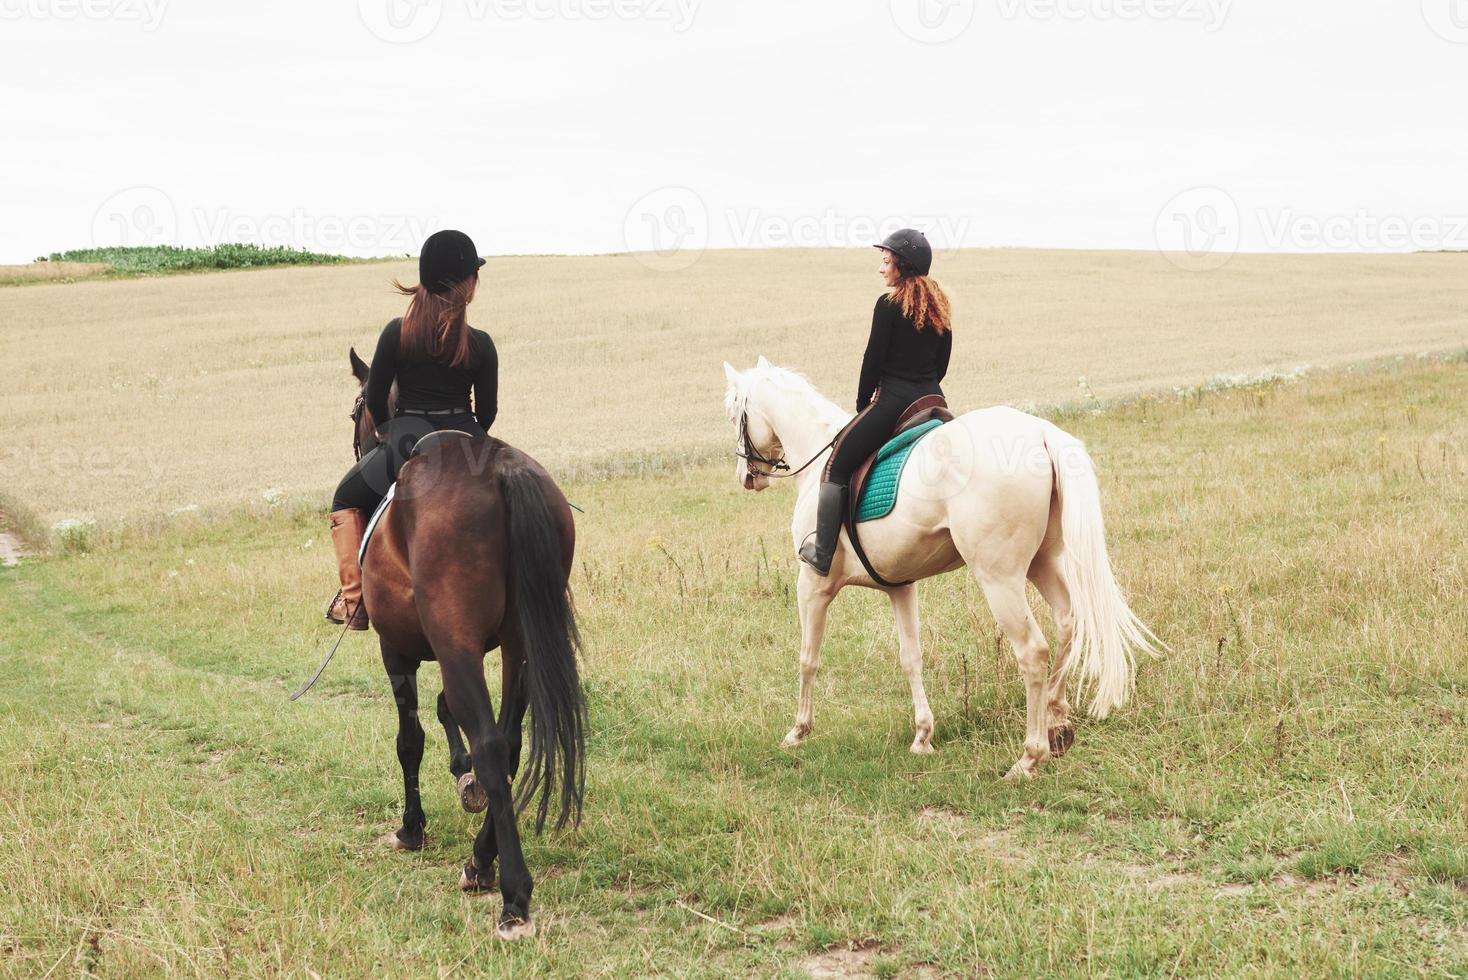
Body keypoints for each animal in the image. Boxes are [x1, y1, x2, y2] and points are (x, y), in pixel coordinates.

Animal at [347, 347, 584, 938]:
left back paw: (513, 896)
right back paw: (481, 860)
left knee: (493, 744)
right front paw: (463, 779)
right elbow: (443, 710)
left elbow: (409, 738)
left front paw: (412, 828)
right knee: (511, 744)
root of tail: (500, 469)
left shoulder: (398, 650)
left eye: (356, 410)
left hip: (457, 647)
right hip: (521, 647)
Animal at [722, 356, 1156, 774]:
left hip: (999, 578)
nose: (746, 476)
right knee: (1069, 621)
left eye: (733, 413)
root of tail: (1041, 434)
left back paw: (1030, 758)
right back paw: (1058, 726)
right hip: (1042, 562)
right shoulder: (900, 587)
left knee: (1033, 651)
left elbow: (807, 658)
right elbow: (911, 657)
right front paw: (923, 736)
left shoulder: (812, 584)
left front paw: (798, 731)